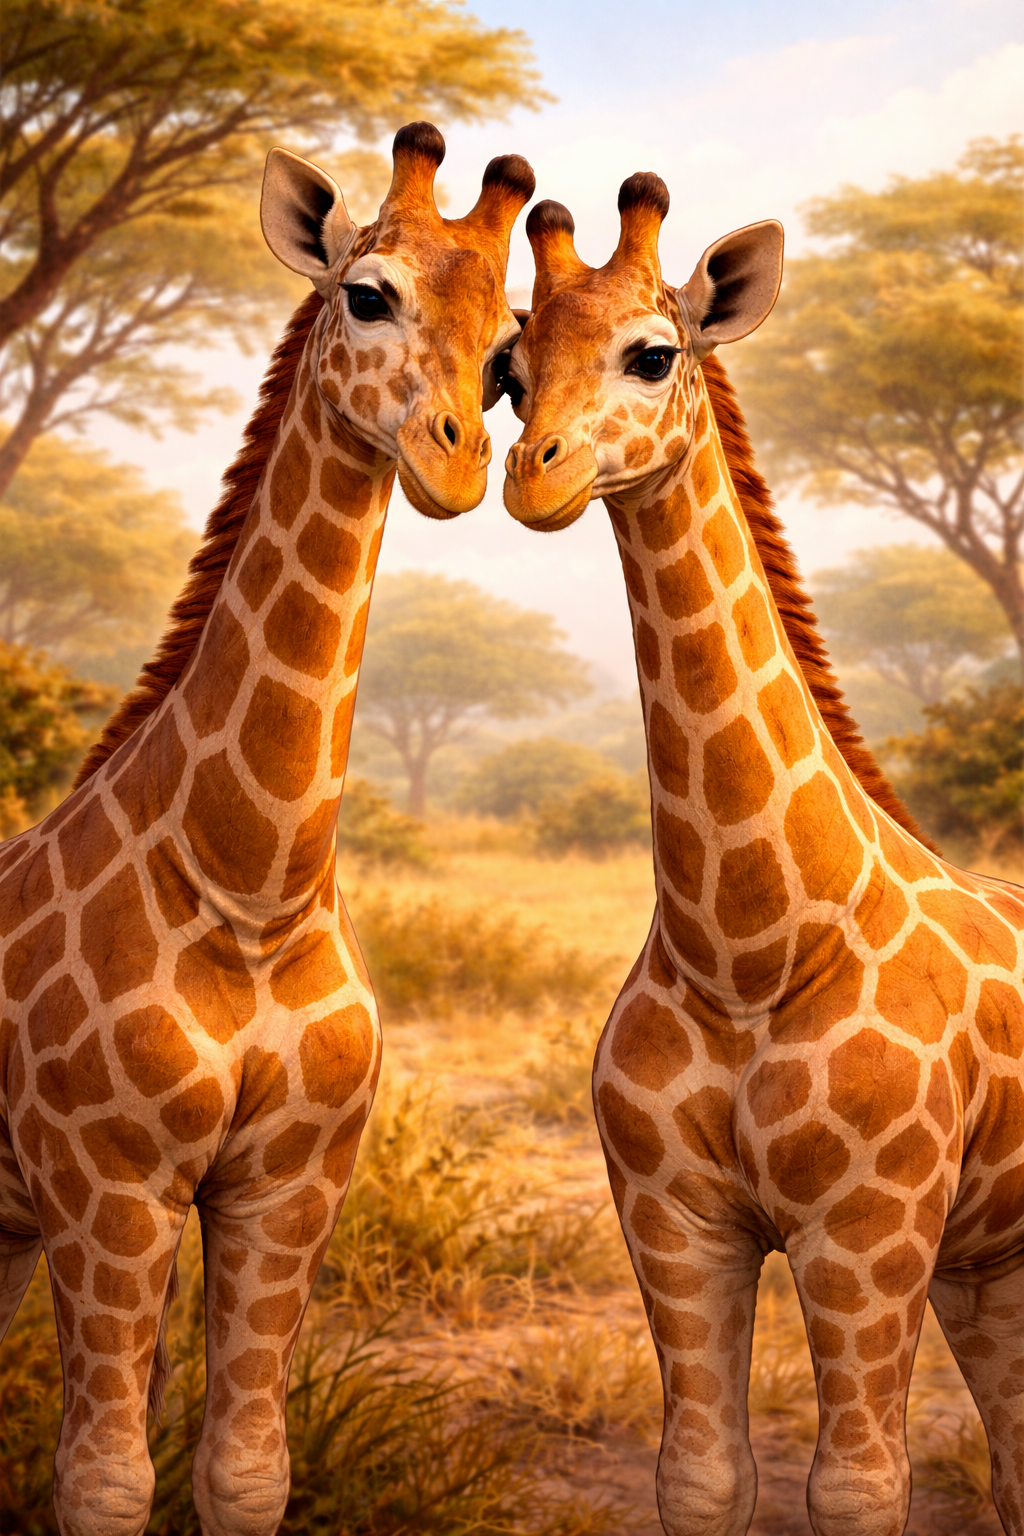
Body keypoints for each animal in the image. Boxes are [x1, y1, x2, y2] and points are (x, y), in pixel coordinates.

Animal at [0, 120, 534, 1536]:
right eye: (367, 293)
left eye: (506, 348)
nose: (456, 460)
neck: (250, 887)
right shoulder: (108, 1183)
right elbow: (105, 1481)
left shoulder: (291, 1183)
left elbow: (244, 1470)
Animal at [502, 175, 1024, 1536]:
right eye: (509, 372)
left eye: (653, 352)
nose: (533, 478)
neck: (750, 946)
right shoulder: (674, 1218)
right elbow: (699, 1474)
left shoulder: (867, 1228)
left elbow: (857, 1486)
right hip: (988, 1260)